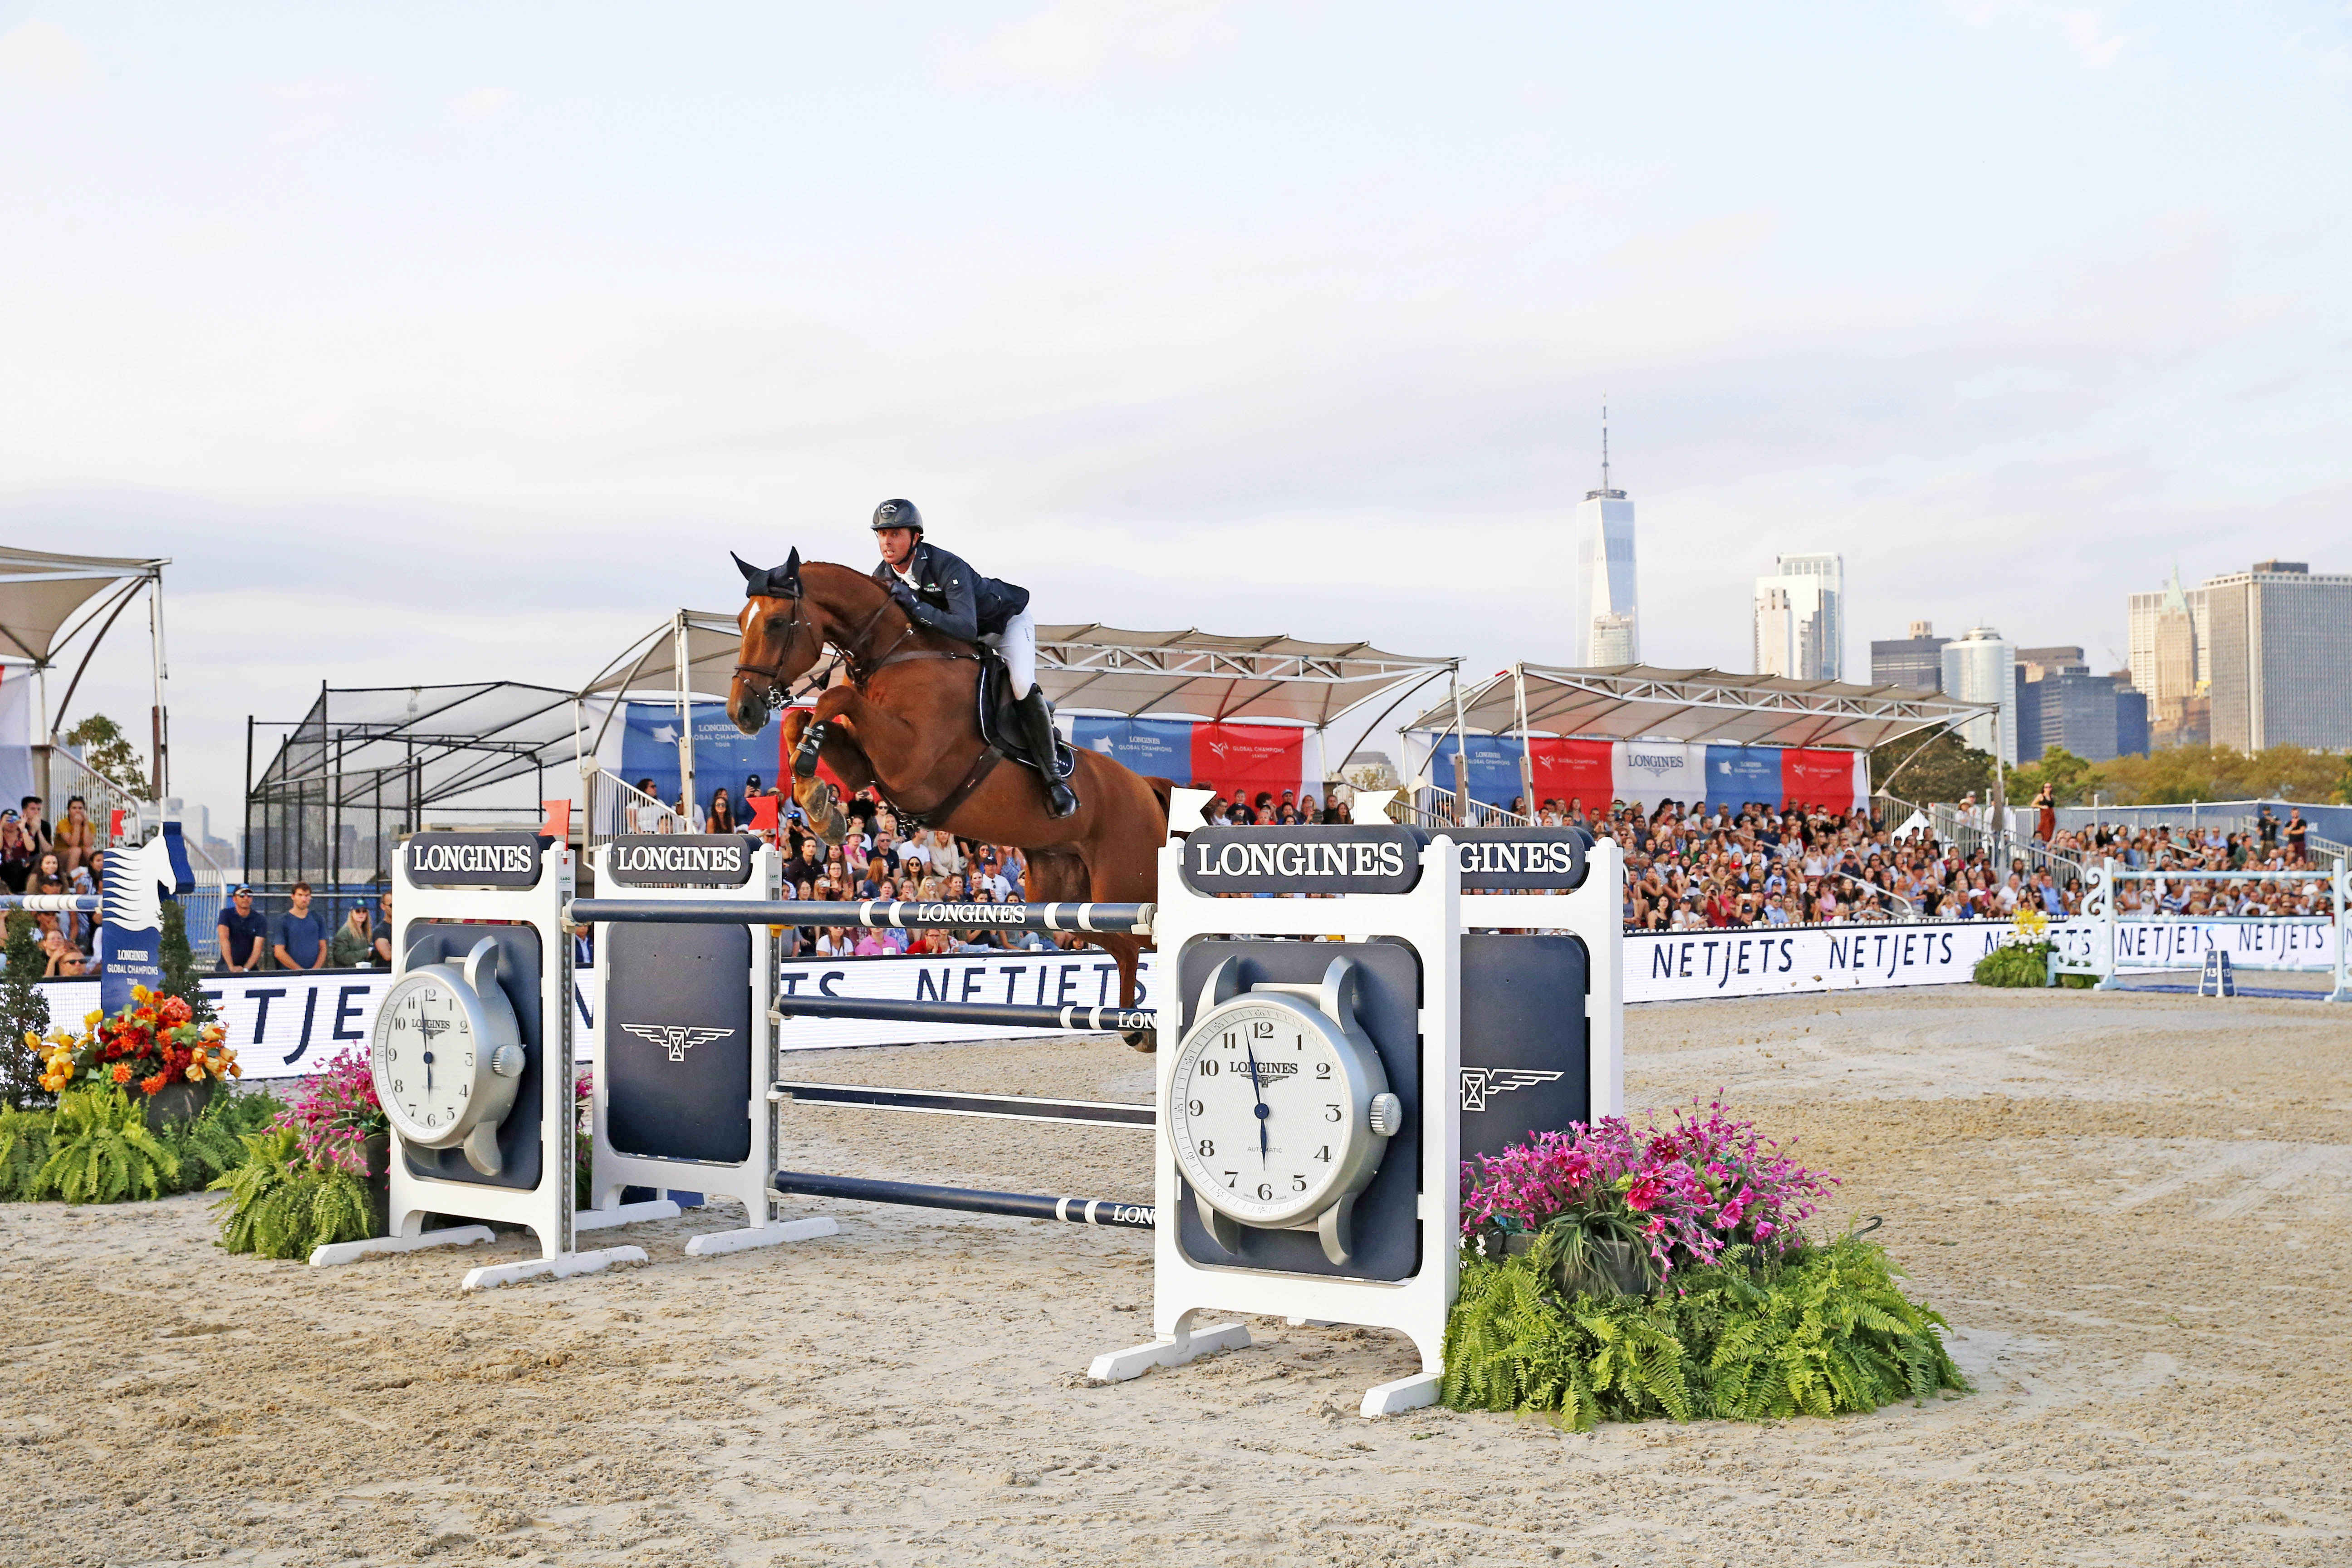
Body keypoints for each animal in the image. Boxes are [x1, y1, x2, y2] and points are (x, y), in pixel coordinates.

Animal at [724, 552, 1166, 1044]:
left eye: (777, 623)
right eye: (742, 621)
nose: (741, 712)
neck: (897, 654)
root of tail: (1145, 787)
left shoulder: (911, 764)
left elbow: (834, 696)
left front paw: (811, 778)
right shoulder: (868, 767)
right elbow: (801, 718)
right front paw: (820, 805)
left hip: (1125, 885)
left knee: (1147, 941)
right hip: (1069, 898)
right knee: (1126, 948)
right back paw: (1136, 1030)